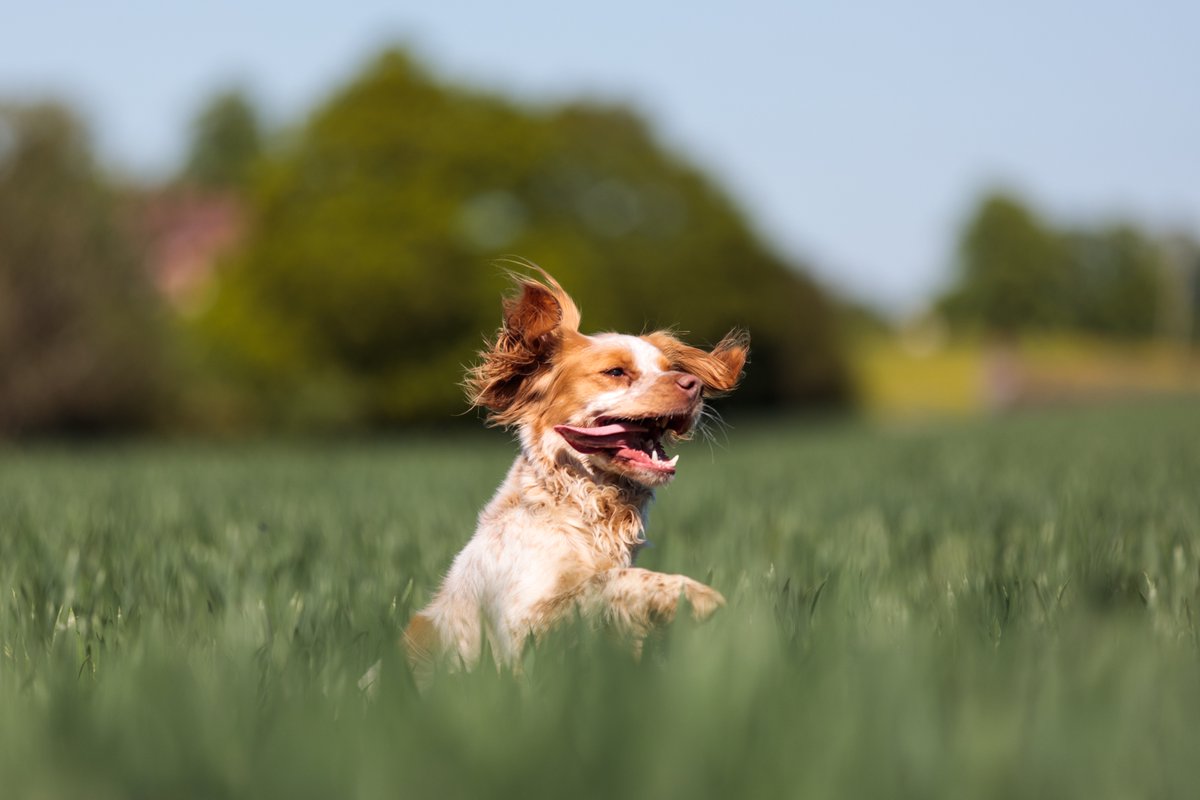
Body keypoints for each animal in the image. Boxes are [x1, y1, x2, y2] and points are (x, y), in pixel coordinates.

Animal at [408, 271, 744, 681]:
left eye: (669, 369)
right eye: (615, 372)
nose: (693, 385)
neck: (582, 511)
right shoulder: (518, 627)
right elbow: (602, 583)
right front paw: (693, 594)